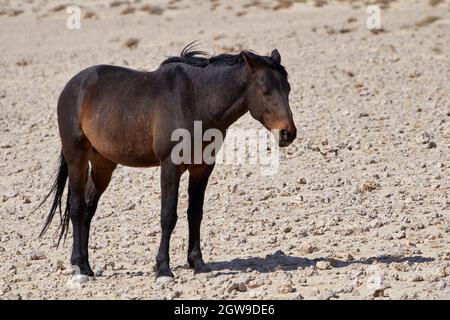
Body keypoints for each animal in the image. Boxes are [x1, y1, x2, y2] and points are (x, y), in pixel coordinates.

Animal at [38, 44, 298, 280]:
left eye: (287, 89)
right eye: (265, 91)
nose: (288, 133)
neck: (197, 100)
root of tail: (74, 85)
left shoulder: (202, 168)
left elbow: (195, 213)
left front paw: (198, 263)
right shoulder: (170, 167)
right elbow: (168, 216)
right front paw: (163, 268)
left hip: (103, 165)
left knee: (89, 209)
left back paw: (86, 266)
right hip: (77, 159)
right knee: (77, 207)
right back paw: (80, 268)